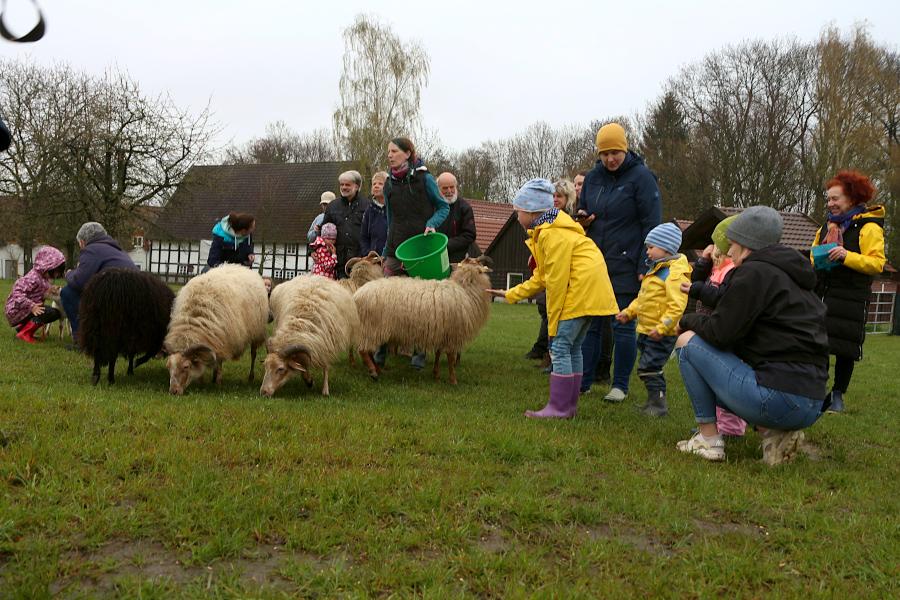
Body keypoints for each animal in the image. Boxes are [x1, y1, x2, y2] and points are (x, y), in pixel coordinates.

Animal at [163, 264, 268, 396]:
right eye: (168, 367)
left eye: (186, 367)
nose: (173, 391)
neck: (194, 320)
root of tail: (241, 267)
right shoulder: (214, 339)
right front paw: (202, 381)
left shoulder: (223, 339)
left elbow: (220, 363)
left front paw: (218, 382)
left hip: (256, 331)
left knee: (253, 354)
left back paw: (250, 377)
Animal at [352, 253, 492, 384]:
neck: (465, 291)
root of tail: (357, 295)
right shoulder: (452, 334)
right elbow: (451, 358)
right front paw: (453, 380)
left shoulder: (442, 332)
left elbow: (438, 353)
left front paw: (436, 374)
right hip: (372, 327)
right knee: (363, 350)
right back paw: (373, 372)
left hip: (370, 328)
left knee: (368, 351)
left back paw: (377, 369)